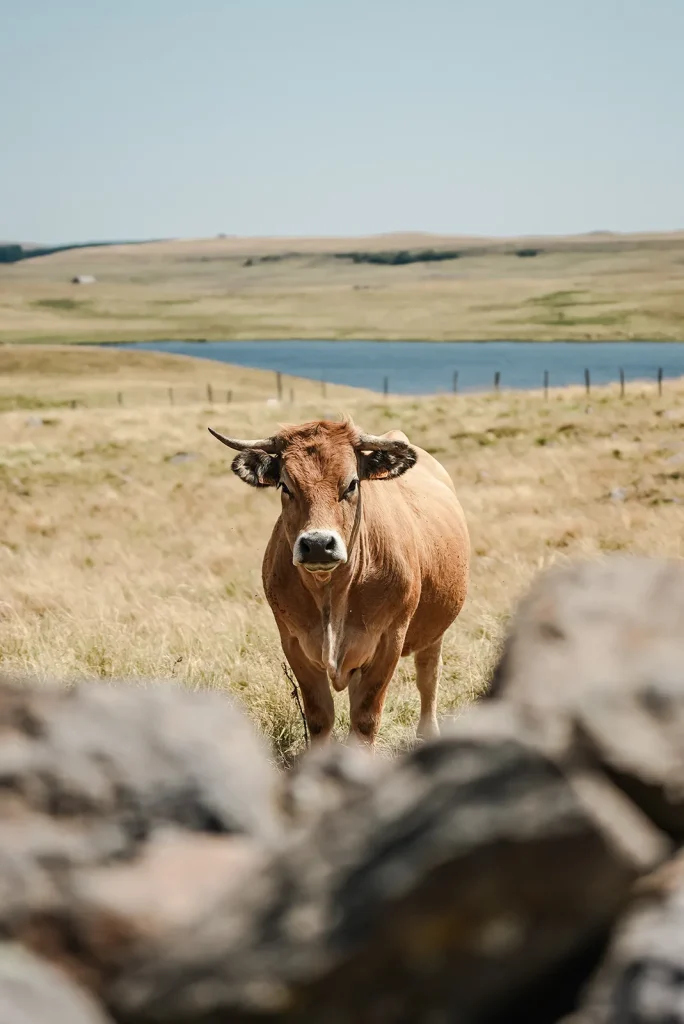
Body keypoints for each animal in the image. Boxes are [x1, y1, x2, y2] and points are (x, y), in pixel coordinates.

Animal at [209, 418, 469, 746]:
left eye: (352, 483)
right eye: (286, 486)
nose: (318, 544)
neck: (331, 593)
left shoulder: (389, 641)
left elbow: (365, 718)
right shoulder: (293, 642)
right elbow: (320, 716)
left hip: (434, 630)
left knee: (428, 675)